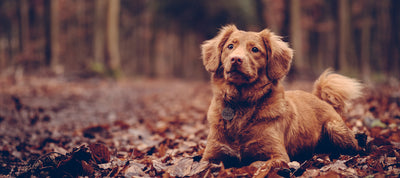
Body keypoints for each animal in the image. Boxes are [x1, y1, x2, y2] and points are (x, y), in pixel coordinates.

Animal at [202, 25, 360, 175]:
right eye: (230, 46)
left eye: (255, 49)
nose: (235, 59)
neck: (241, 102)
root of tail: (318, 97)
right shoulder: (211, 154)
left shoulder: (278, 155)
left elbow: (257, 164)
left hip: (334, 128)